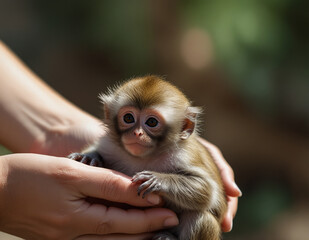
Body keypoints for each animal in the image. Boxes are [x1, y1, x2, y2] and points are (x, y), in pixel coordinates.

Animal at [68, 75, 226, 240]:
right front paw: (88, 157)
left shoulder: (183, 155)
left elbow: (207, 190)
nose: (137, 133)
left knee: (200, 217)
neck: (145, 157)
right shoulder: (110, 145)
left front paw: (158, 180)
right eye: (128, 118)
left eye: (152, 122)